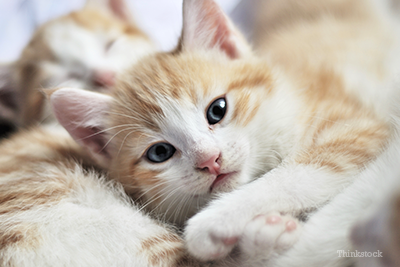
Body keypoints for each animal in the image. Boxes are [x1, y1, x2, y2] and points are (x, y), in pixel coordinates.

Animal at [47, 0, 400, 264]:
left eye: (217, 110)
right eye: (159, 152)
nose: (210, 159)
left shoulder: (359, 125)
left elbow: (302, 172)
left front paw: (215, 221)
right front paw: (261, 236)